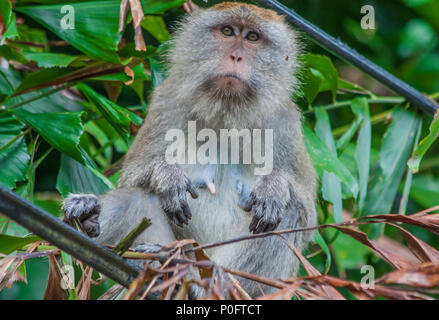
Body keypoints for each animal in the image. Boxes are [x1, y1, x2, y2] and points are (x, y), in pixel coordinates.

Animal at [62, 1, 316, 298]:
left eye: (253, 37)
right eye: (228, 31)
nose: (236, 57)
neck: (226, 112)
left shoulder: (284, 123)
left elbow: (306, 214)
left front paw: (274, 186)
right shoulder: (167, 102)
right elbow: (133, 178)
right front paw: (166, 175)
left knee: (285, 213)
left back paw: (210, 285)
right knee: (140, 196)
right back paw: (91, 220)